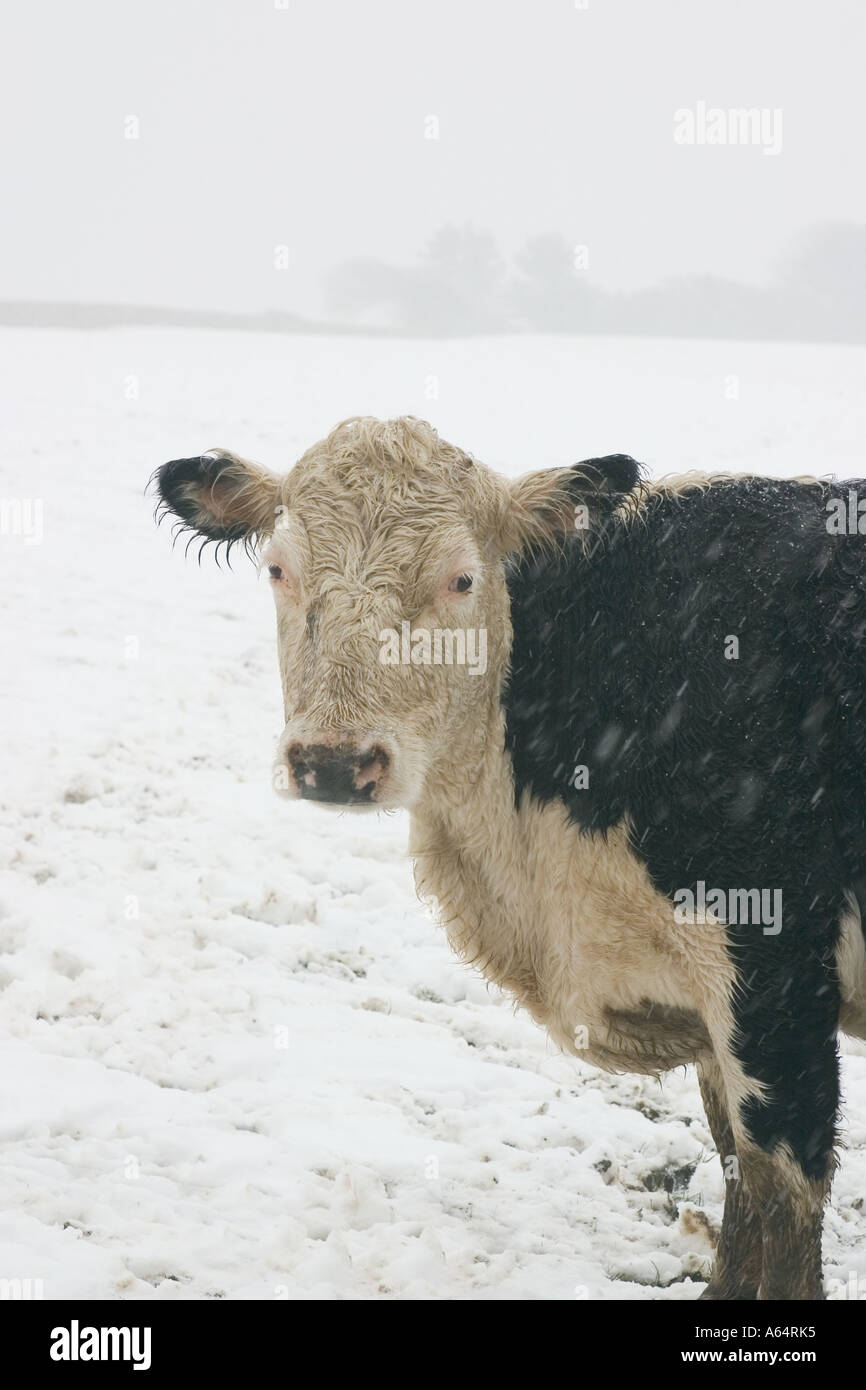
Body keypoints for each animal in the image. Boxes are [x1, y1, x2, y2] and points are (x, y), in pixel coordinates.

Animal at [152, 414, 866, 1301]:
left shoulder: (773, 967)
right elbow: (736, 1165)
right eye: (279, 568)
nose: (334, 763)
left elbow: (783, 1189)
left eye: (461, 579)